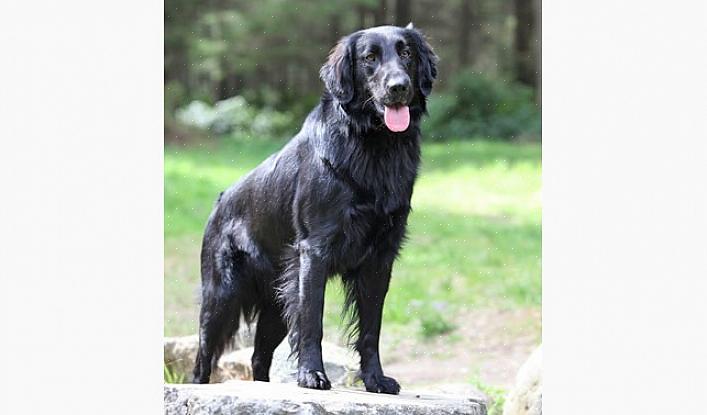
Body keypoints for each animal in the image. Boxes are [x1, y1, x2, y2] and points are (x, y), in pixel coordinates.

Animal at [194, 24, 436, 394]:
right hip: (222, 296)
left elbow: (371, 328)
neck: (374, 145)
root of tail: (220, 201)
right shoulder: (314, 252)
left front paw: (375, 379)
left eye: (406, 53)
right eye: (369, 57)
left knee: (258, 356)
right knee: (203, 355)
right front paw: (311, 375)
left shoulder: (380, 258)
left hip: (276, 303)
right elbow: (312, 321)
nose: (399, 87)